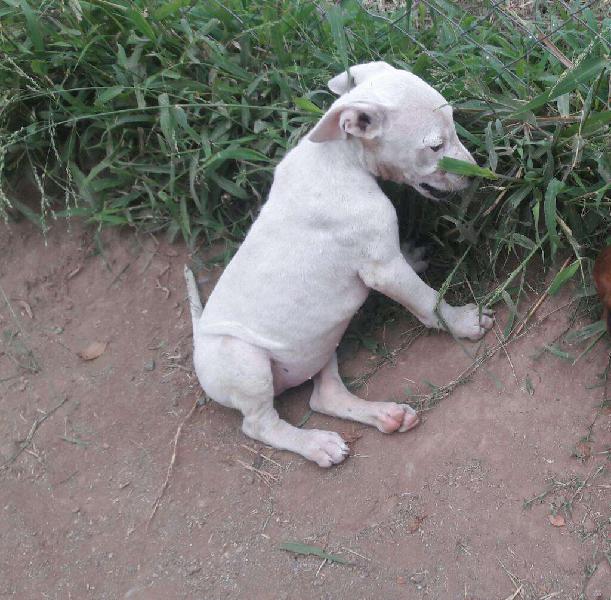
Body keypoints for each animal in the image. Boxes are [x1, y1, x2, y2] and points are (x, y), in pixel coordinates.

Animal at [184, 61, 494, 466]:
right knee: (260, 425)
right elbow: (428, 302)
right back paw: (316, 444)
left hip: (321, 343)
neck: (339, 157)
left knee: (324, 396)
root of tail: (197, 343)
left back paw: (386, 415)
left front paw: (414, 256)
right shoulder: (383, 269)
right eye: (435, 146)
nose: (476, 172)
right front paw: (463, 323)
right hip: (243, 359)